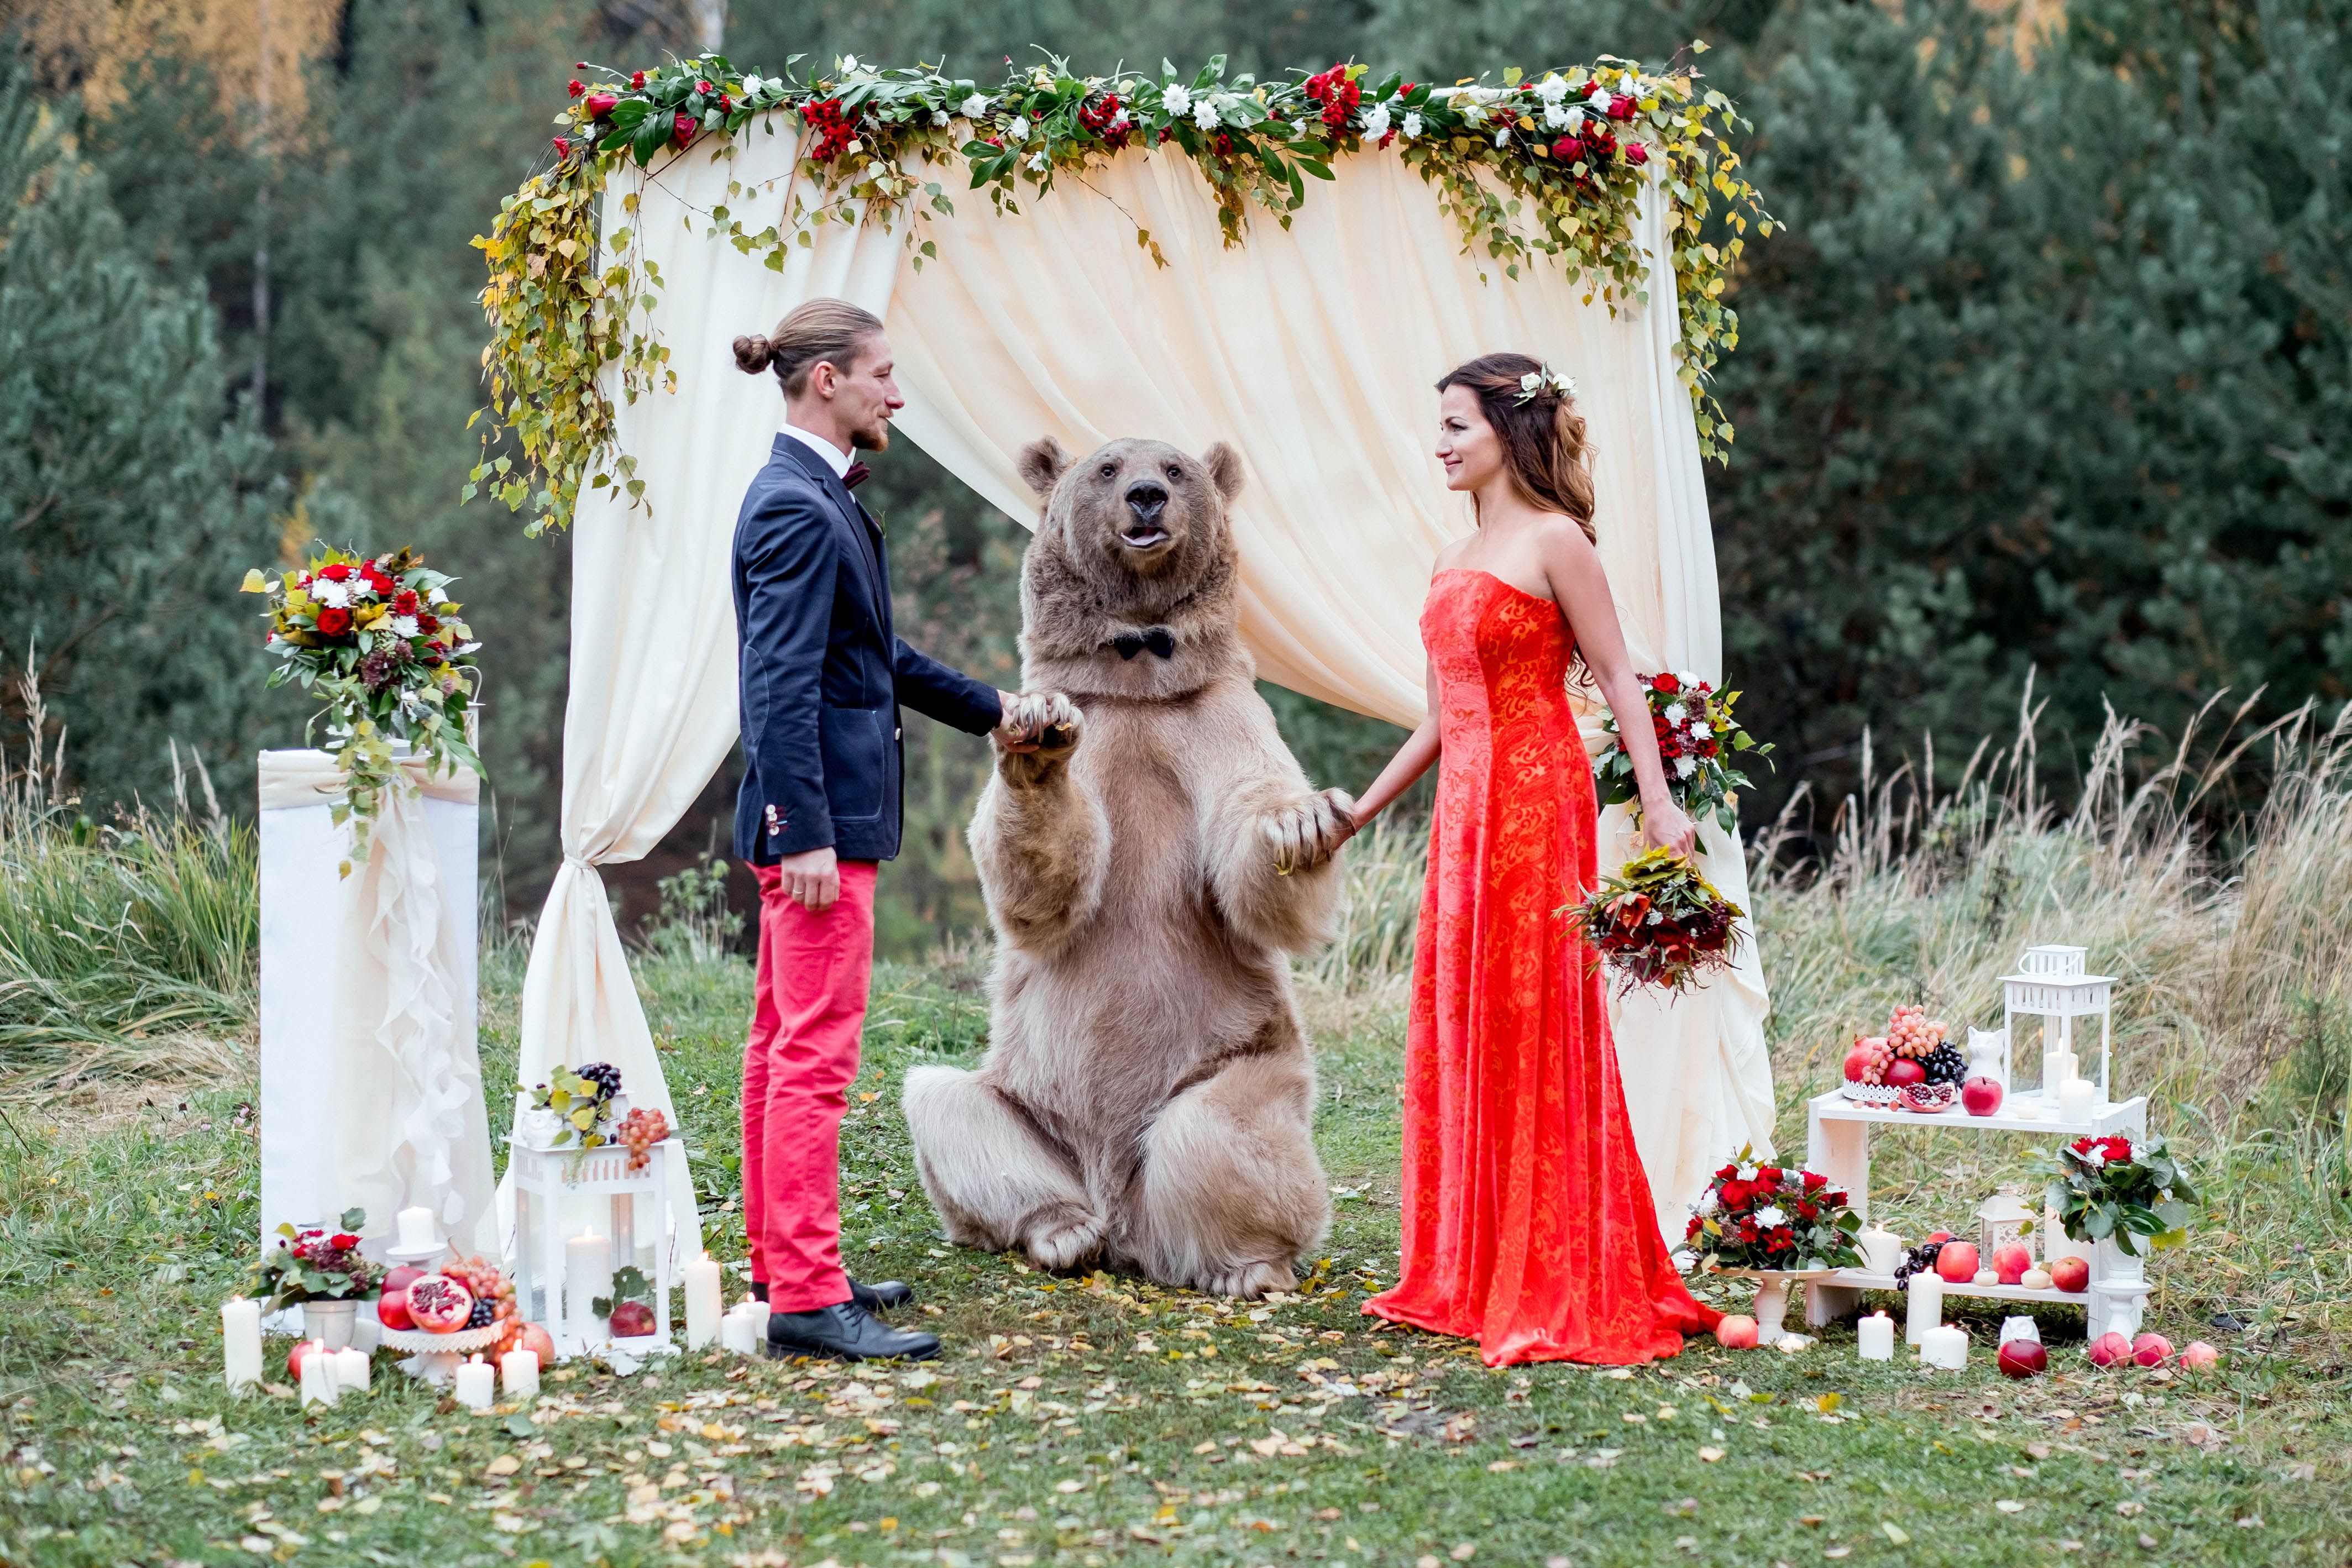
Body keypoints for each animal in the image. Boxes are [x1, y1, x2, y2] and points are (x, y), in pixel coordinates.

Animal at [898, 432, 1354, 1297]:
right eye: (1107, 469)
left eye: (1175, 468)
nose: (1147, 496)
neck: (1136, 670)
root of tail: (1128, 1226)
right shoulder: (1092, 720)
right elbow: (1038, 887)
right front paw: (1037, 754)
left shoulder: (1220, 717)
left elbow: (1251, 858)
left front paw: (1301, 821)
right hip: (1024, 1095)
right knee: (948, 1107)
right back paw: (1060, 1231)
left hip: (1238, 1056)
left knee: (1223, 1132)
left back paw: (1247, 1264)